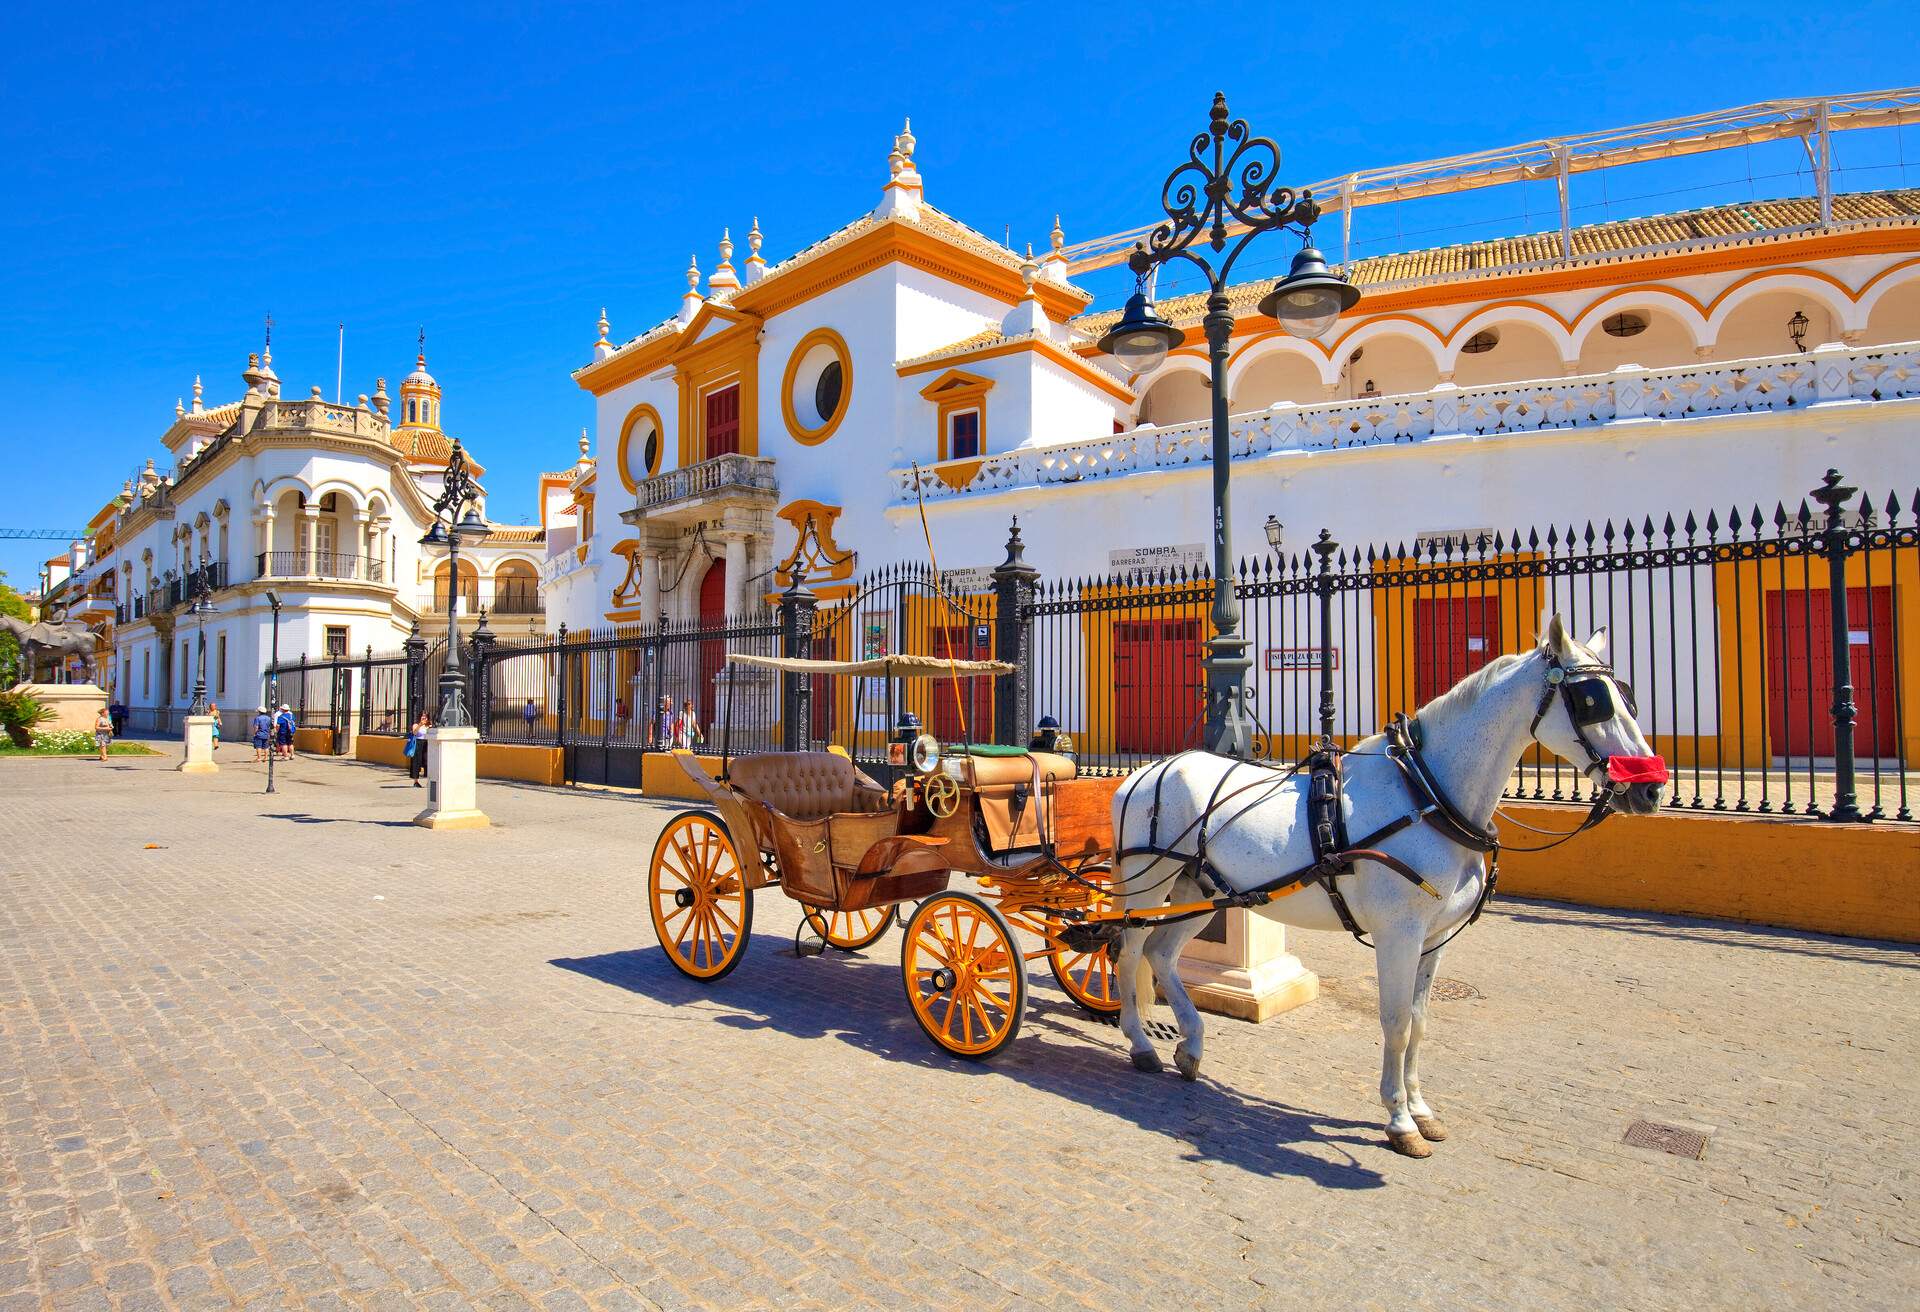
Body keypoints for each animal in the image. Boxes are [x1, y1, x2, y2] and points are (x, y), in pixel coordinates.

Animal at [1113, 618, 1666, 1160]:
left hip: (1200, 891)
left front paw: (1421, 1108)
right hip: (1149, 887)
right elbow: (1396, 1022)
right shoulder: (1398, 933)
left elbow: (1419, 1021)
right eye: (1592, 700)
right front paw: (1399, 1121)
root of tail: (1144, 773)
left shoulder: (1435, 937)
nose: (1651, 789)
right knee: (1128, 953)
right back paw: (1141, 1044)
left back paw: (1191, 1046)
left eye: (1629, 696)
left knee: (1162, 954)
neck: (1427, 794)